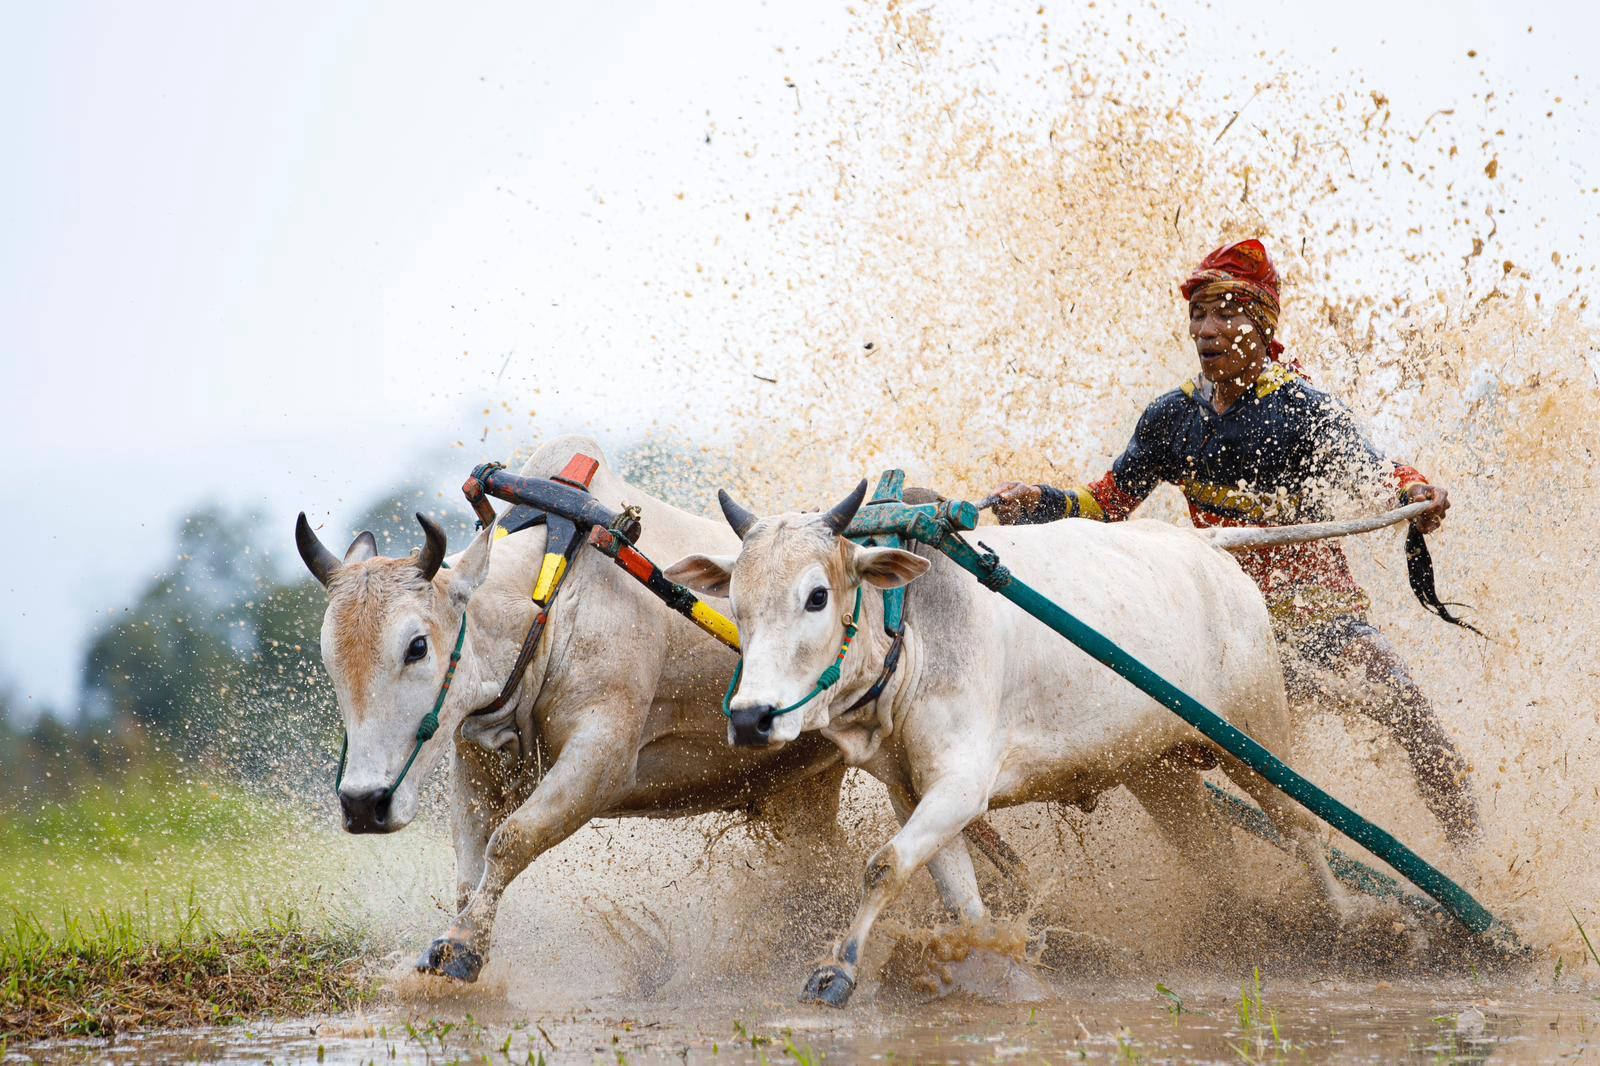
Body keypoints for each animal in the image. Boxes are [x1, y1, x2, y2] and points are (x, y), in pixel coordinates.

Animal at [294, 435, 1004, 985]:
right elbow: (471, 869)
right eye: (329, 656)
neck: (554, 592)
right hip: (796, 797)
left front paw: (465, 949)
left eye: (417, 645)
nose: (363, 804)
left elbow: (511, 841)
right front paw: (454, 945)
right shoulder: (473, 755)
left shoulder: (601, 758)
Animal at [665, 480, 1440, 1005]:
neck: (908, 624)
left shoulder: (961, 785)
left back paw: (1359, 924)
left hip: (1254, 735)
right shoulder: (913, 792)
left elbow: (882, 866)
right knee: (1216, 854)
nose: (751, 718)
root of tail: (1205, 547)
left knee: (1306, 829)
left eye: (817, 596)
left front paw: (838, 971)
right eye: (737, 601)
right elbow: (961, 902)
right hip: (1160, 773)